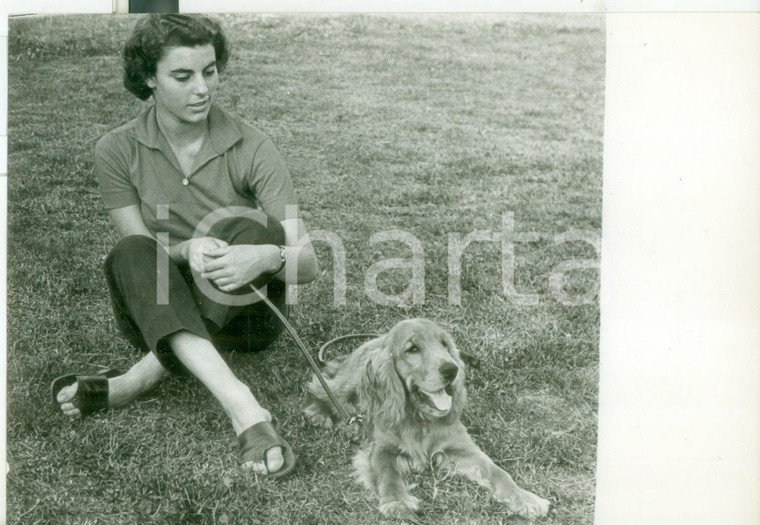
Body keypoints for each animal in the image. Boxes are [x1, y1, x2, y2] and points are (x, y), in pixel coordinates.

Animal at [304, 318, 552, 516]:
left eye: (444, 344)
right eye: (413, 348)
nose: (452, 370)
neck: (420, 417)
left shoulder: (463, 449)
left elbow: (498, 472)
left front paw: (524, 498)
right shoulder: (381, 450)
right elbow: (388, 475)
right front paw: (397, 502)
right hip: (347, 383)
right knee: (321, 385)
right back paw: (318, 414)